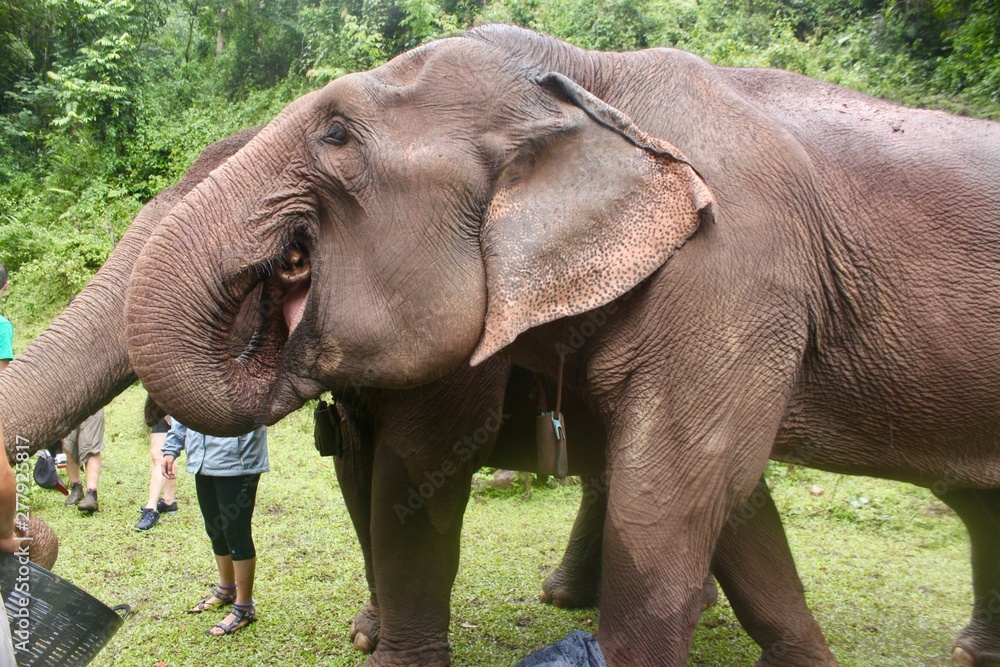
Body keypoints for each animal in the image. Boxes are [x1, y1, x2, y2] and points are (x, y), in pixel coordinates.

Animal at [123, 23, 1000, 667]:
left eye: (336, 132)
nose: (280, 272)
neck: (595, 82)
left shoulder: (737, 272)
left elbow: (673, 488)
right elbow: (734, 498)